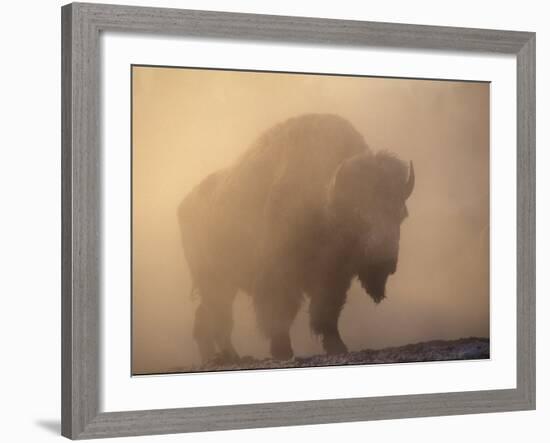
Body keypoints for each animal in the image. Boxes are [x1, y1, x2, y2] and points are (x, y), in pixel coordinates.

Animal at [179, 114, 416, 364]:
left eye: (401, 214)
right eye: (358, 213)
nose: (384, 260)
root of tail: (184, 205)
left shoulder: (334, 278)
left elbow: (326, 312)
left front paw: (338, 347)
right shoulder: (278, 276)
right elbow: (279, 314)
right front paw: (282, 351)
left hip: (223, 283)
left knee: (207, 318)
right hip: (213, 280)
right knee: (218, 318)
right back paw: (228, 357)